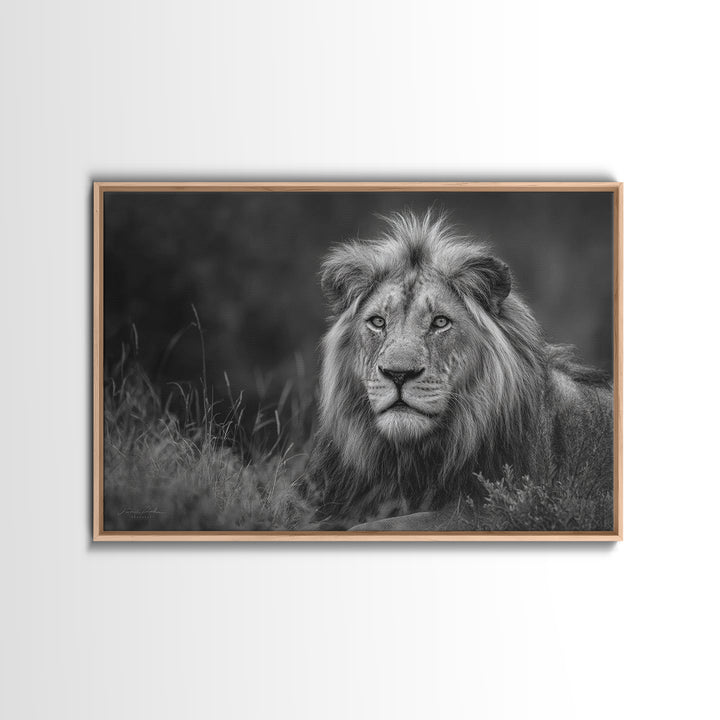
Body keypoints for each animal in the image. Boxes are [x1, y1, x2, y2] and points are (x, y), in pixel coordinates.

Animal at [305, 209, 613, 531]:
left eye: (440, 322)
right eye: (377, 322)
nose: (398, 374)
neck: (409, 459)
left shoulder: (494, 511)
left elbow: (380, 526)